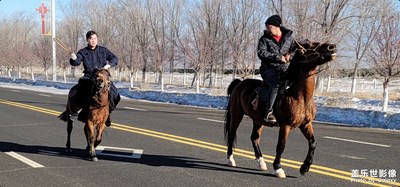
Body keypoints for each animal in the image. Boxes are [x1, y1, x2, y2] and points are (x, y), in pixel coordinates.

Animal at [225, 41, 338, 178]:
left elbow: (313, 143)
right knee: (232, 135)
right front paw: (278, 168)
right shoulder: (286, 125)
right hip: (236, 115)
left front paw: (304, 167)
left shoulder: (306, 124)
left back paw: (262, 163)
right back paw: (231, 160)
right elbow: (281, 146)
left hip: (258, 120)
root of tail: (239, 84)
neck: (299, 96)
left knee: (254, 138)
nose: (332, 47)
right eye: (310, 45)